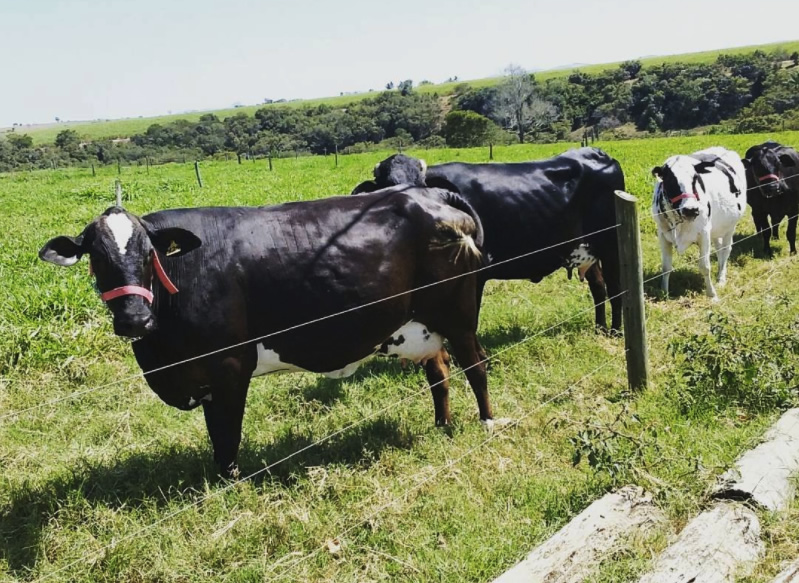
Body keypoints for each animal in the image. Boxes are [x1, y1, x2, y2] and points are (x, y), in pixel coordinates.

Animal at [42, 189, 500, 476]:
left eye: (149, 254)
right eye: (96, 257)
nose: (134, 319)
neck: (163, 358)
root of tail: (431, 193)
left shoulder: (229, 365)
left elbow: (226, 432)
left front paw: (229, 482)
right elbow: (216, 431)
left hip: (458, 315)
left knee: (476, 364)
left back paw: (487, 423)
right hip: (420, 323)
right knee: (439, 371)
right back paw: (441, 425)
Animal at [652, 146, 748, 302]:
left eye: (695, 178)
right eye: (670, 180)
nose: (691, 209)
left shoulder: (704, 233)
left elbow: (704, 266)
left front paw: (712, 294)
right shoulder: (662, 234)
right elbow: (666, 267)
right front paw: (663, 292)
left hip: (730, 226)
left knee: (726, 249)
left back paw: (721, 279)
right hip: (716, 229)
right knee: (719, 249)